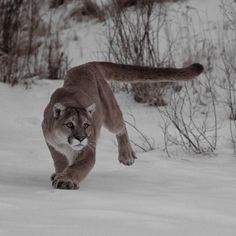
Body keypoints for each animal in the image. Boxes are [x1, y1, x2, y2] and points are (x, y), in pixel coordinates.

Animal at [41, 61, 204, 190]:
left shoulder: (88, 149)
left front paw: (66, 180)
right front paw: (60, 174)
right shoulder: (52, 143)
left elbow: (78, 167)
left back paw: (126, 155)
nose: (81, 138)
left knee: (122, 125)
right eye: (69, 124)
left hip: (111, 116)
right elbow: (60, 161)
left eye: (86, 125)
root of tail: (86, 65)